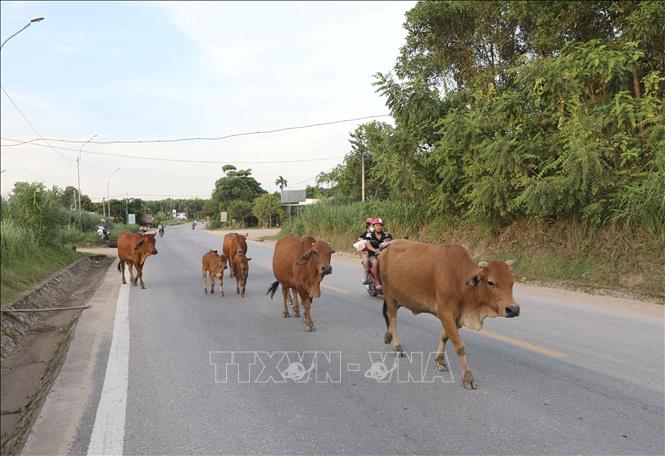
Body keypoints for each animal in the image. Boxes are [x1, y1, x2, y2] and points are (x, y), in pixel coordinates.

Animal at [378, 239, 520, 388]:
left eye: (512, 283)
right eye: (490, 282)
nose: (513, 309)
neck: (461, 282)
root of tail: (387, 247)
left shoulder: (455, 317)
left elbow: (444, 337)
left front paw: (440, 361)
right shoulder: (445, 313)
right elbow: (459, 345)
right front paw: (468, 377)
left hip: (400, 297)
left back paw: (388, 337)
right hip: (389, 294)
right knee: (392, 318)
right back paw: (397, 347)